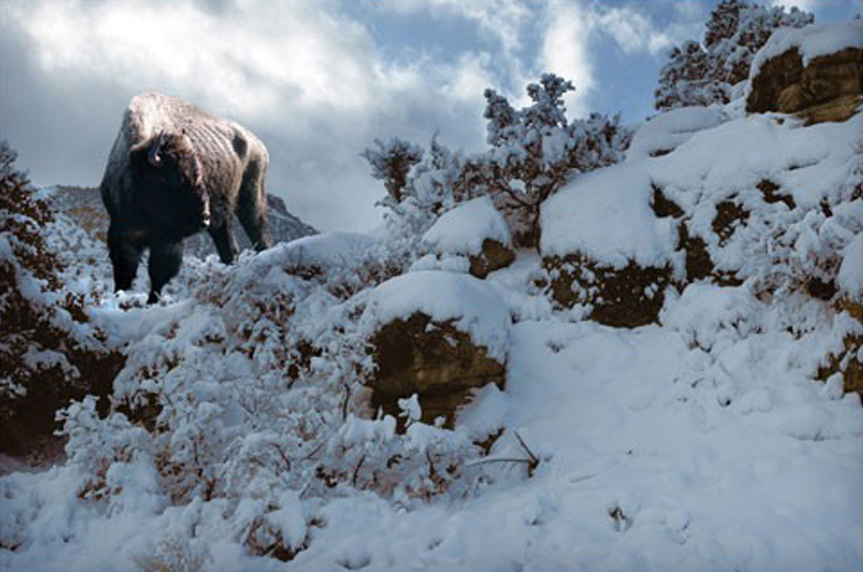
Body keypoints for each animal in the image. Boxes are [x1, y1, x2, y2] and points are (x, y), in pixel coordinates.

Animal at [100, 92, 272, 302]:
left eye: (199, 174)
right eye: (171, 179)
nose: (204, 217)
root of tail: (258, 145)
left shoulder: (168, 240)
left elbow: (158, 274)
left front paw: (152, 302)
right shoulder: (122, 234)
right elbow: (124, 272)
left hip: (251, 201)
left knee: (259, 234)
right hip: (222, 222)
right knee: (229, 250)